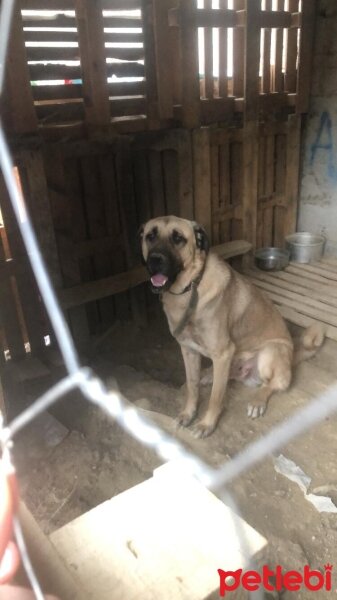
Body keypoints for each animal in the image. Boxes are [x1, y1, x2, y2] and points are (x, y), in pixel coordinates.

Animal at [139, 216, 322, 436]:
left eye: (178, 238)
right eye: (150, 236)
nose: (155, 260)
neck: (190, 289)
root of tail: (293, 354)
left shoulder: (223, 353)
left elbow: (215, 398)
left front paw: (206, 424)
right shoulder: (188, 349)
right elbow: (192, 387)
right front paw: (188, 414)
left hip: (270, 351)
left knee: (273, 384)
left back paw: (257, 401)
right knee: (228, 377)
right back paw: (208, 375)